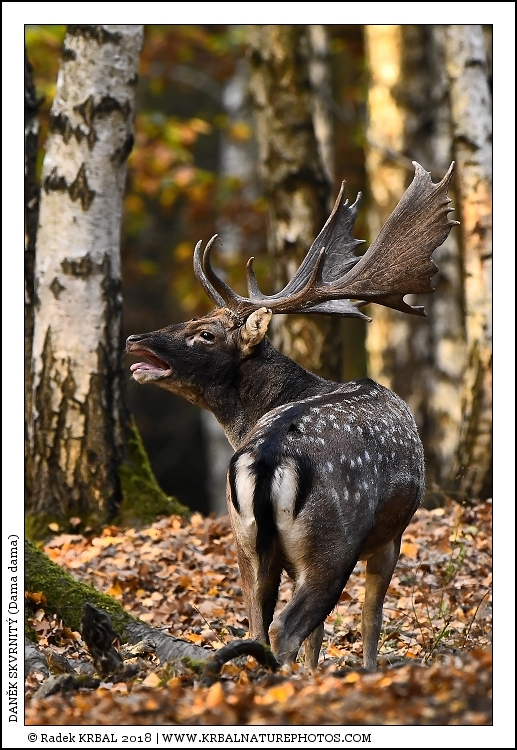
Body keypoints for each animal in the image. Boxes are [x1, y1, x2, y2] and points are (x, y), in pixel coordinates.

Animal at [126, 161, 459, 670]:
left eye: (205, 332)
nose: (134, 339)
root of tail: (266, 458)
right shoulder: (391, 533)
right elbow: (369, 620)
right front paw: (367, 672)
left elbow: (320, 638)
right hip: (332, 542)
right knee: (289, 625)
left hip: (246, 540)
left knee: (259, 624)